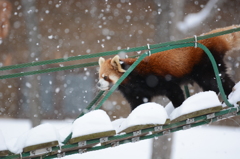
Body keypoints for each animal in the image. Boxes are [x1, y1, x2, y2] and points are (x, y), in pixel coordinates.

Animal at [97, 25, 240, 110]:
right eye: (99, 77)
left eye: (105, 77)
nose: (98, 84)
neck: (132, 78)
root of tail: (211, 39)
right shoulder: (136, 92)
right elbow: (139, 103)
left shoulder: (156, 78)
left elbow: (174, 91)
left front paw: (179, 108)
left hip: (205, 66)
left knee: (214, 80)